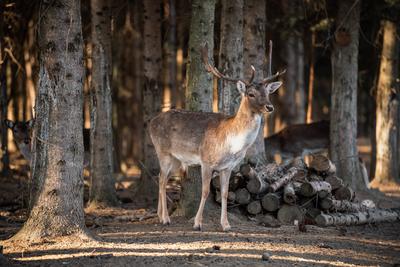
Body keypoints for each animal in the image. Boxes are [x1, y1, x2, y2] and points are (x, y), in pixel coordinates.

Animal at [150, 40, 284, 231]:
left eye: (268, 93)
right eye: (251, 94)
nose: (270, 107)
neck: (232, 145)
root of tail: (152, 122)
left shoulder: (228, 167)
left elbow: (225, 193)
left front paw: (226, 225)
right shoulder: (206, 160)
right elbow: (205, 191)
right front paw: (198, 223)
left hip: (176, 159)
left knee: (163, 178)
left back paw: (160, 215)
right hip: (163, 151)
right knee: (162, 181)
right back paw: (166, 219)